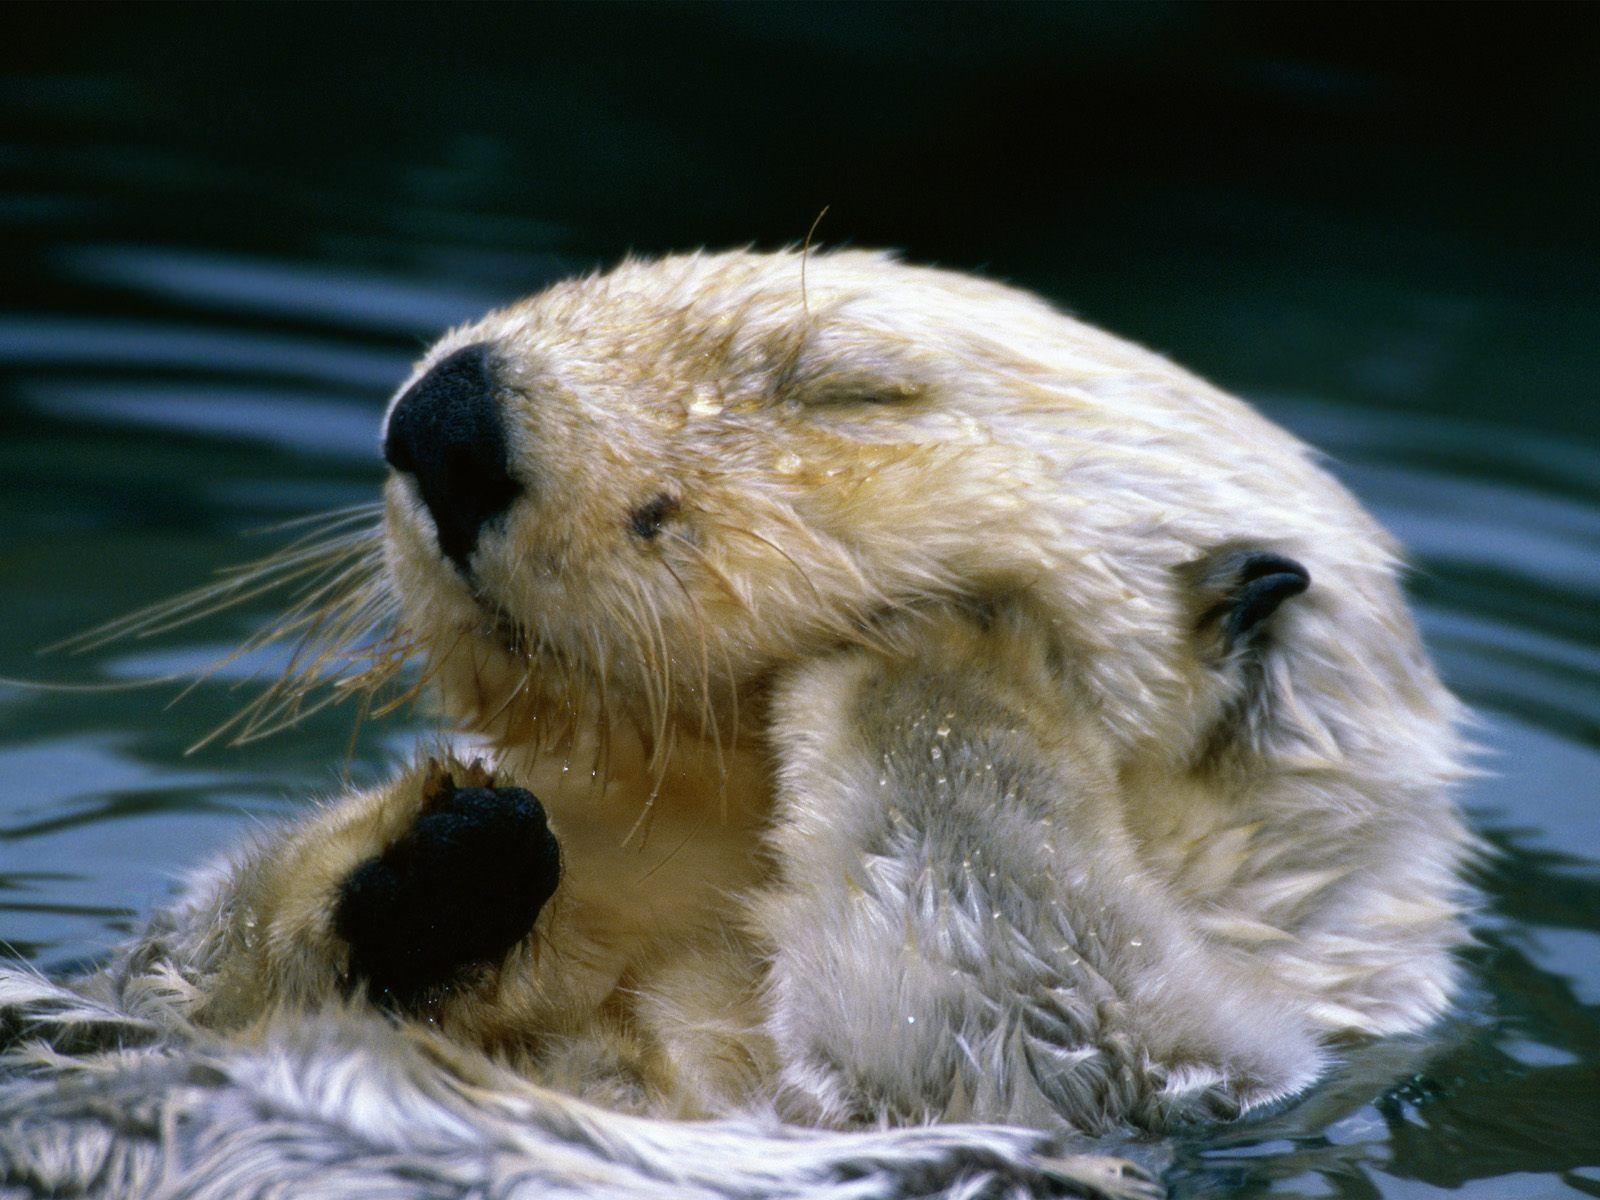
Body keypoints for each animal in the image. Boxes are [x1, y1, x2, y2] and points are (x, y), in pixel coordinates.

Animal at [0, 249, 1475, 1198]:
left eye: (849, 390)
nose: (444, 416)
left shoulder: (1120, 1066)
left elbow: (988, 955)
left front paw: (956, 647)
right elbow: (202, 957)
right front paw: (448, 849)